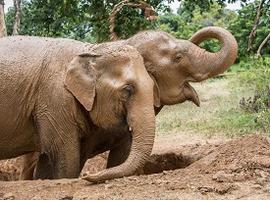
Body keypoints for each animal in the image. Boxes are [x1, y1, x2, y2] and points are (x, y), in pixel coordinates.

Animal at [0, 35, 160, 181]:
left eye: (153, 86)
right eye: (128, 89)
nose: (87, 176)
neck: (91, 50)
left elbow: (46, 163)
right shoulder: (54, 101)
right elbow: (65, 155)